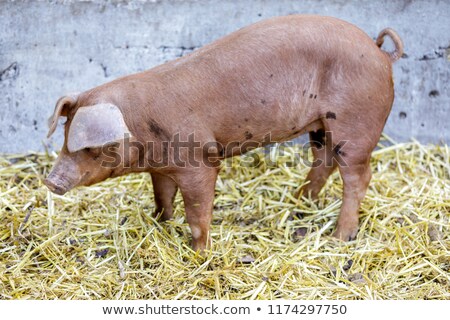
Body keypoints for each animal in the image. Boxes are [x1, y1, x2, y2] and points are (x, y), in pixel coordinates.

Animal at [44, 15, 404, 251]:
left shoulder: (199, 162)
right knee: (324, 162)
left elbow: (197, 211)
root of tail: (380, 52)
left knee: (358, 176)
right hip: (321, 127)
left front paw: (198, 252)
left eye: (92, 147)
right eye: (64, 136)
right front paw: (159, 223)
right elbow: (162, 197)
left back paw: (340, 238)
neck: (139, 128)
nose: (51, 181)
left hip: (357, 122)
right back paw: (299, 203)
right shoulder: (161, 167)